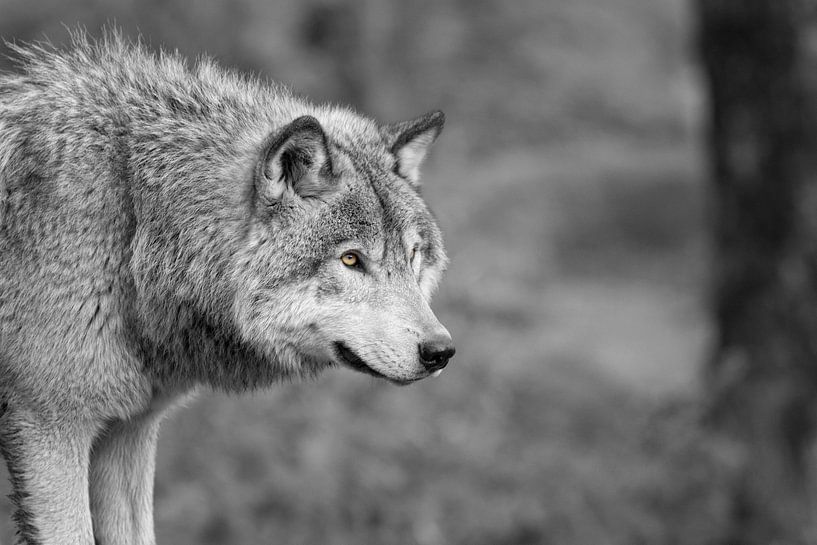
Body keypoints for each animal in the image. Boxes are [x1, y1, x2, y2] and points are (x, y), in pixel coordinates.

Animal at [0, 32, 454, 545]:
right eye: (351, 260)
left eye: (413, 256)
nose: (440, 351)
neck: (134, 219)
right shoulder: (51, 430)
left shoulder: (128, 431)